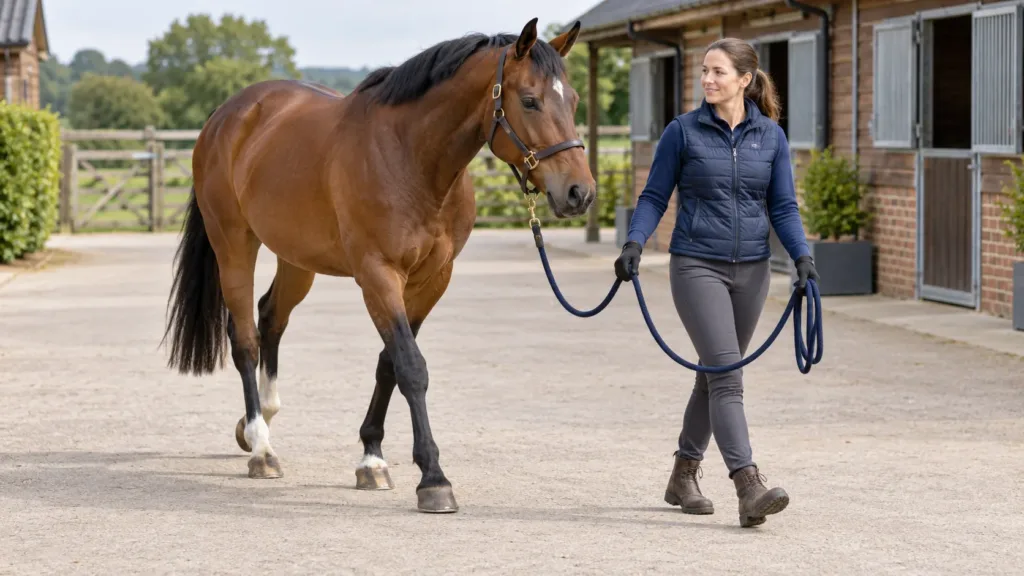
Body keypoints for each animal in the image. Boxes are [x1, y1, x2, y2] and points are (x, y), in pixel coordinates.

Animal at [161, 18, 594, 513]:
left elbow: (389, 363)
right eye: (529, 100)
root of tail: (228, 115)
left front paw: (371, 457)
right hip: (233, 243)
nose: (580, 192)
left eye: (573, 100)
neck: (410, 157)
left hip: (297, 257)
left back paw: (260, 421)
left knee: (271, 316)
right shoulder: (377, 275)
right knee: (246, 338)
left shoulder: (432, 280)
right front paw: (433, 478)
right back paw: (261, 447)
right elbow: (411, 366)